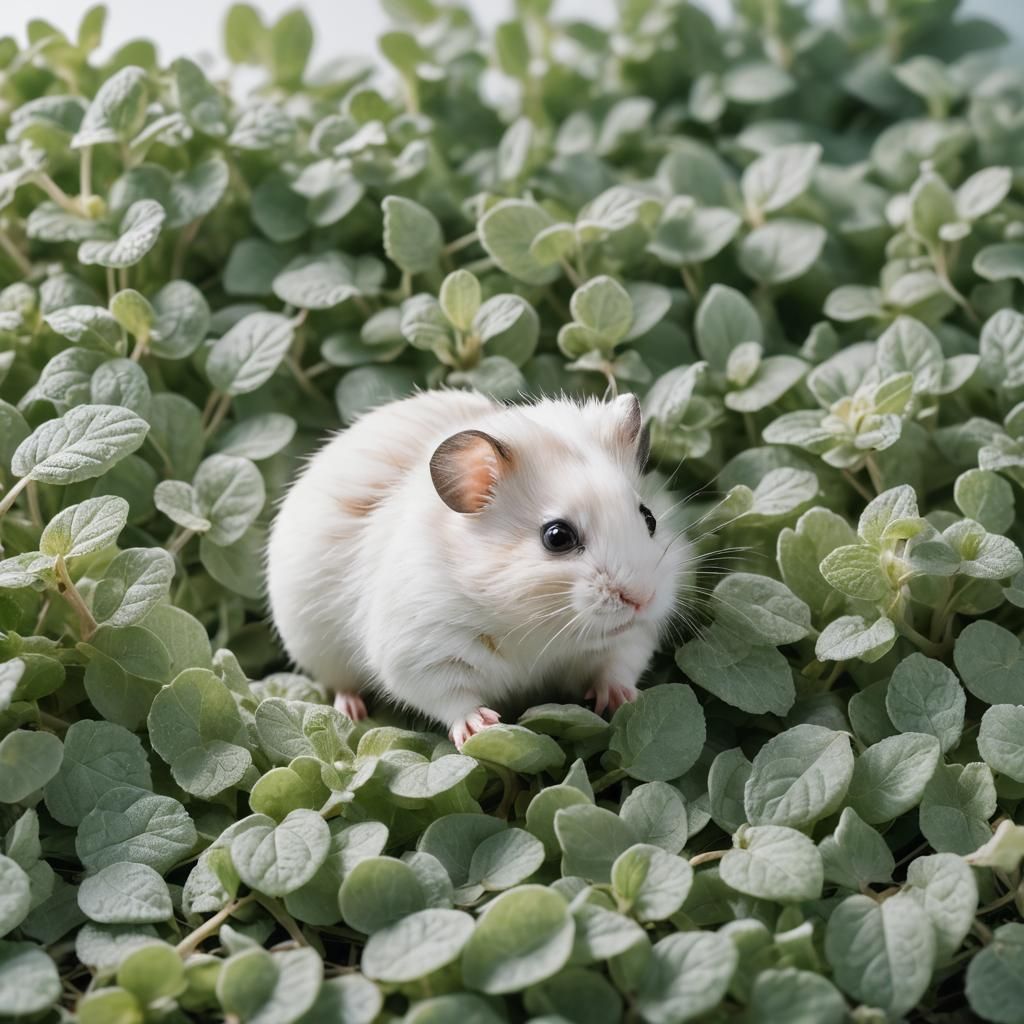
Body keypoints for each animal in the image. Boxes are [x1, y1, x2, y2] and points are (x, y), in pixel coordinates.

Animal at [266, 389, 687, 749]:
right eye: (557, 537)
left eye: (649, 518)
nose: (642, 599)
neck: (535, 628)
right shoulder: (420, 652)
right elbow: (450, 696)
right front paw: (480, 727)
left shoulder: (632, 637)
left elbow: (618, 663)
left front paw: (624, 699)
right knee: (340, 684)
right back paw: (352, 712)